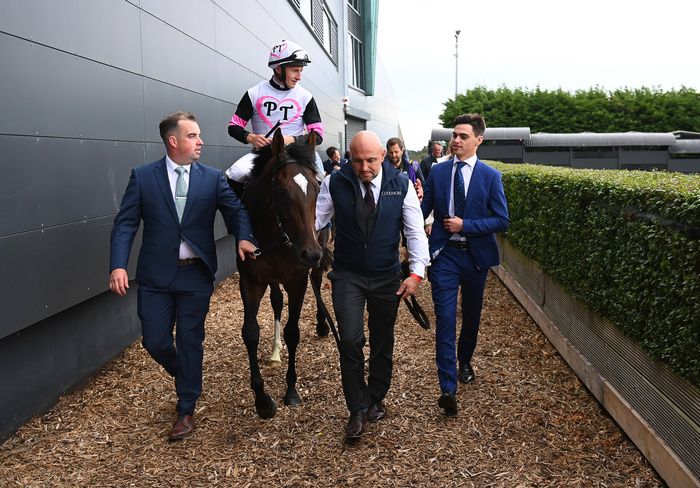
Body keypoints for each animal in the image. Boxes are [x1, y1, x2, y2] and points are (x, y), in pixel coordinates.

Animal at [235, 127, 322, 418]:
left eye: (317, 188)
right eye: (283, 192)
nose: (311, 253)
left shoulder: (297, 280)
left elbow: (293, 331)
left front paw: (292, 390)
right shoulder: (251, 281)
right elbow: (250, 332)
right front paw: (262, 400)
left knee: (319, 279)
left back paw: (323, 323)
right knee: (276, 301)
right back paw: (275, 351)